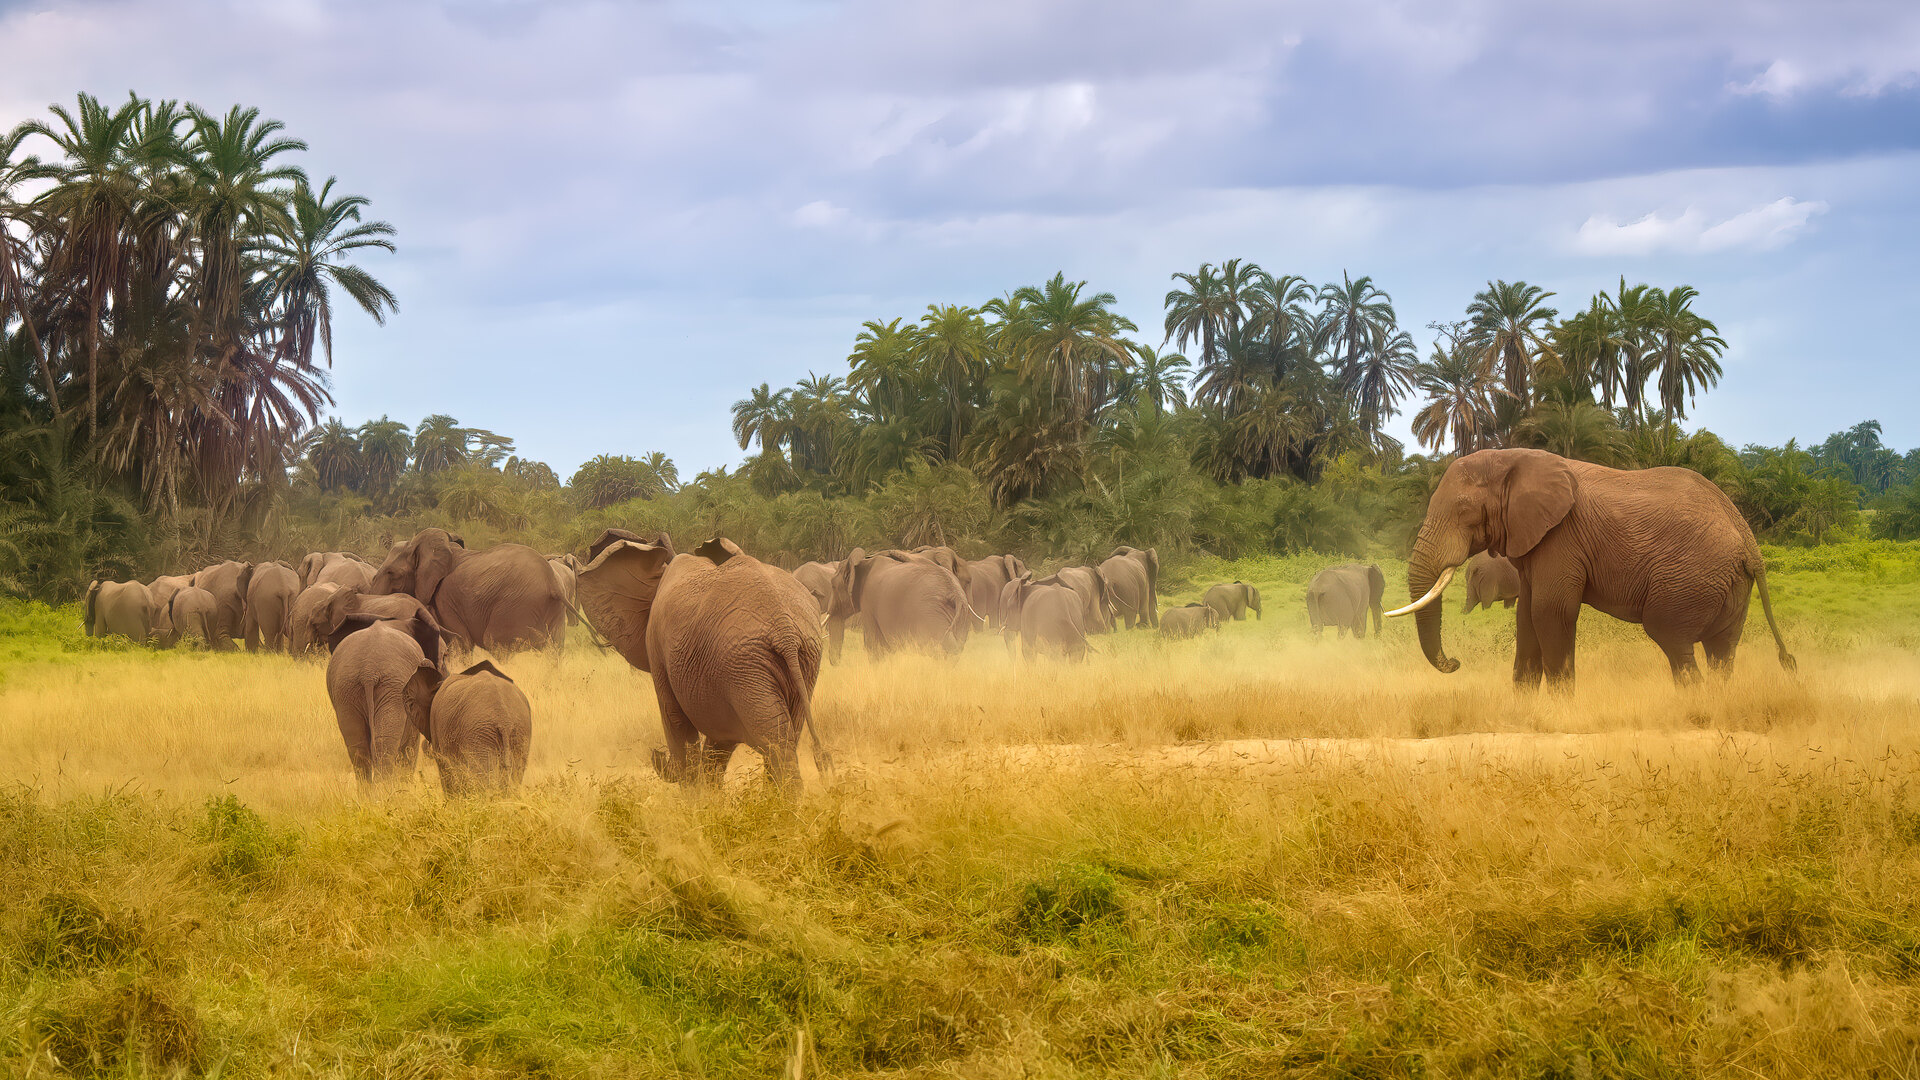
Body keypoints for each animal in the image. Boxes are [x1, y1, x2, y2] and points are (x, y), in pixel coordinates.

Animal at [323, 613, 447, 785]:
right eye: (444, 656)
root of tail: (368, 672)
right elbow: (410, 747)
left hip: (347, 690)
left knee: (359, 748)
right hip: (391, 689)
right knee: (385, 746)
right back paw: (385, 791)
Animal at [368, 528, 566, 652]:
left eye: (392, 573)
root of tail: (553, 584)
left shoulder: (444, 599)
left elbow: (460, 642)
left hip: (517, 606)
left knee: (495, 642)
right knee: (554, 652)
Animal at [575, 532, 826, 789]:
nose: (656, 754)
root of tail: (784, 630)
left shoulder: (658, 648)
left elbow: (675, 719)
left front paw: (695, 794)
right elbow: (719, 739)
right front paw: (709, 795)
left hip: (745, 666)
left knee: (775, 742)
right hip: (799, 659)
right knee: (787, 734)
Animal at [830, 548, 974, 658]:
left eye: (833, 586)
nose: (837, 663)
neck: (865, 561)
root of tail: (955, 595)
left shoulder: (868, 603)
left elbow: (874, 646)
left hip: (931, 616)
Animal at [1390, 448, 1795, 688]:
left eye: (1464, 510)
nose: (1455, 662)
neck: (1512, 457)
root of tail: (1749, 540)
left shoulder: (1562, 538)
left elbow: (1550, 612)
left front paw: (1560, 711)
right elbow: (1527, 616)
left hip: (1691, 577)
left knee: (1673, 640)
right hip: (1729, 584)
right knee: (1721, 652)